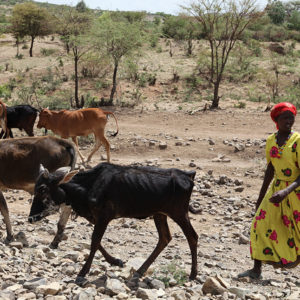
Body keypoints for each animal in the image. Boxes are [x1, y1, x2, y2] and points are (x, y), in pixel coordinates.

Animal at [27, 163, 197, 284]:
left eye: (43, 189)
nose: (31, 218)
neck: (88, 185)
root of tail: (188, 176)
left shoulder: (104, 217)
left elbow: (95, 241)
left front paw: (82, 273)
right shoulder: (95, 218)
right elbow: (97, 242)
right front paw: (115, 261)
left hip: (179, 213)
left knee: (192, 237)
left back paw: (193, 274)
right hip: (160, 214)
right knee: (164, 238)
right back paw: (139, 271)